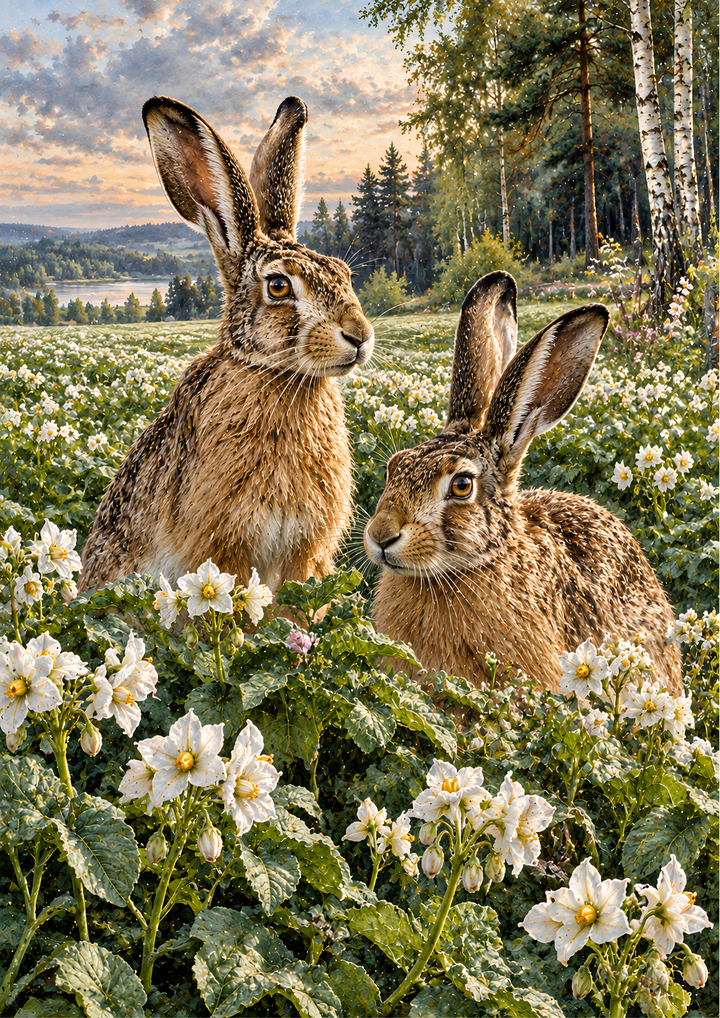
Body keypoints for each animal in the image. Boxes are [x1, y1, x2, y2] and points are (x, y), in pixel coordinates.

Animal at [79, 95, 374, 595]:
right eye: (278, 286)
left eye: (344, 273)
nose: (359, 335)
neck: (269, 372)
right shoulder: (222, 547)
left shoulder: (305, 556)